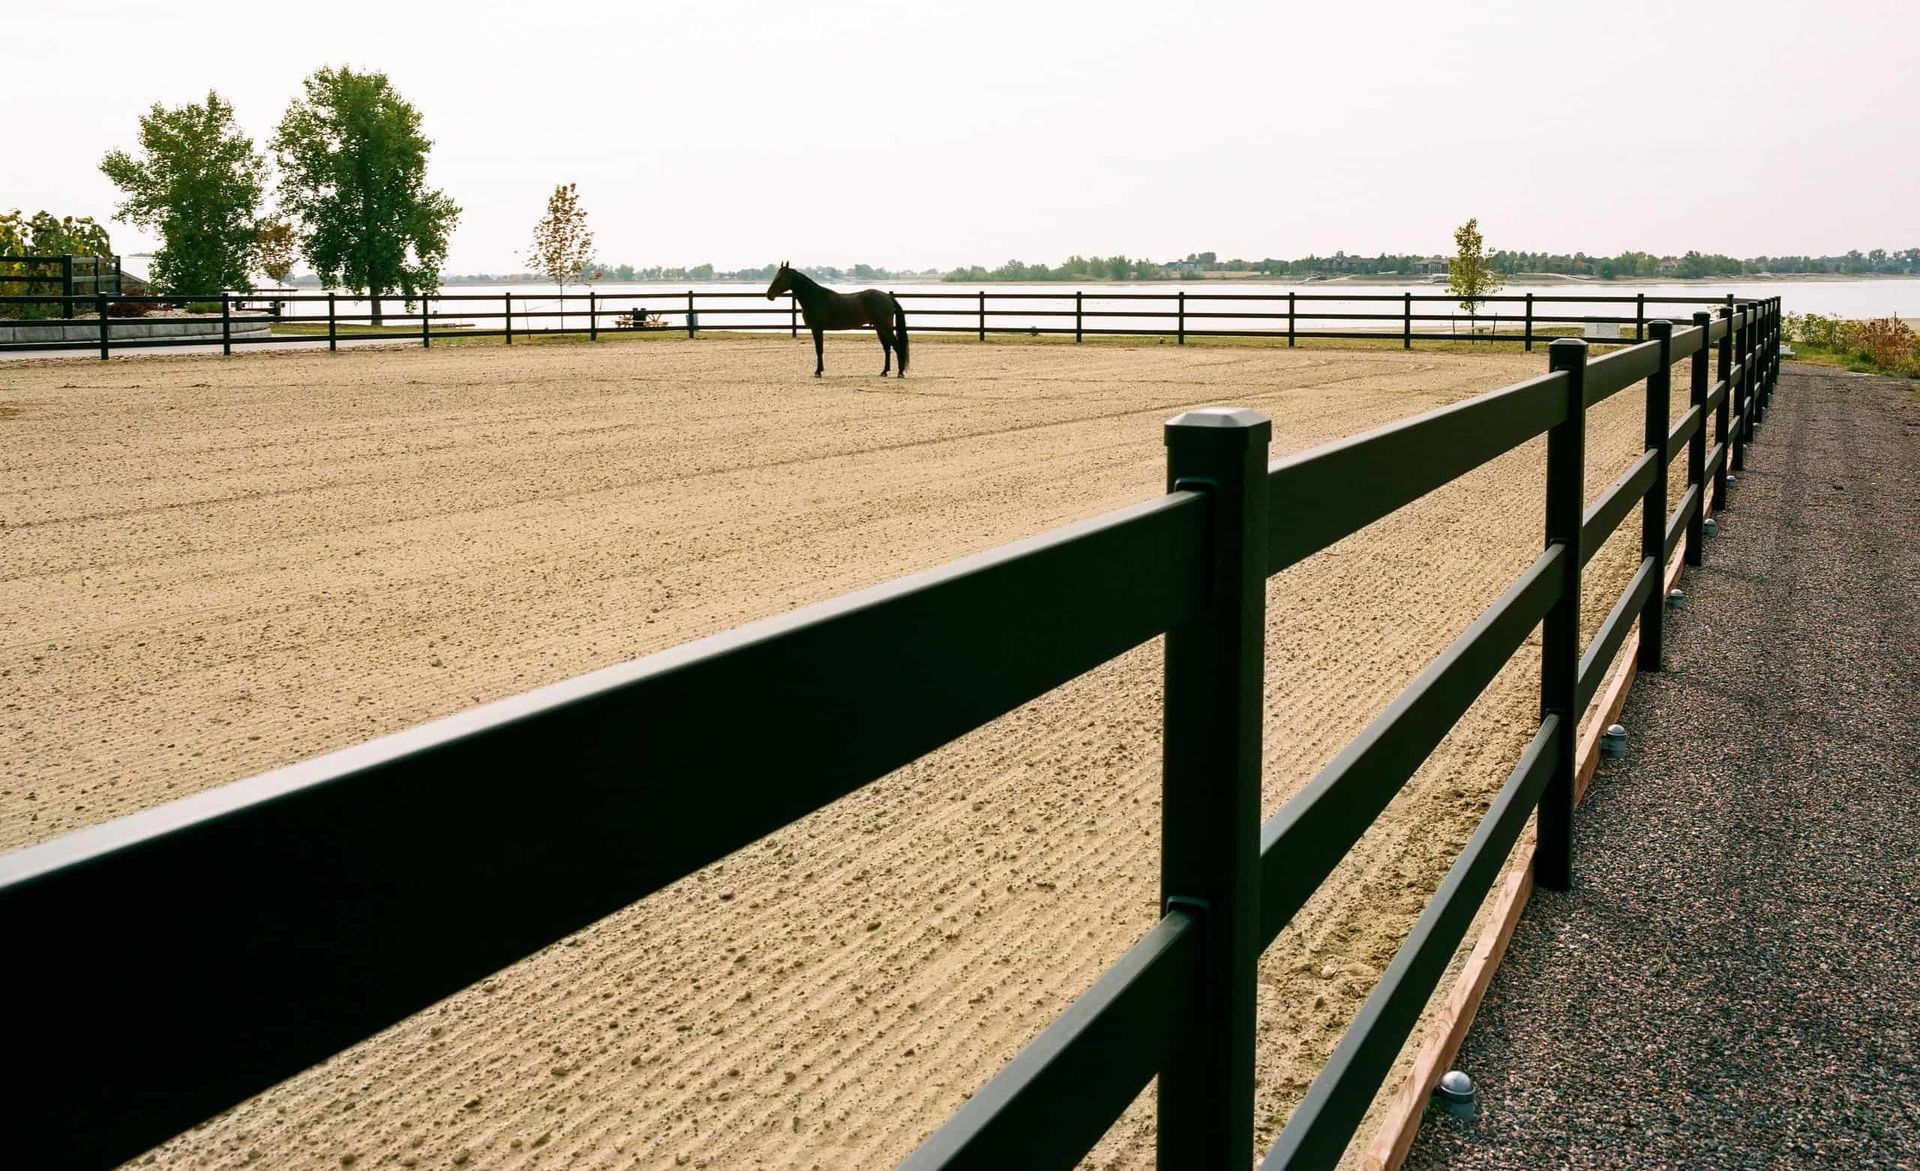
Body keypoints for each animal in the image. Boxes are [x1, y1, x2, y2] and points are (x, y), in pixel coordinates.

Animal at [765, 262, 909, 378]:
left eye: (780, 278)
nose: (769, 295)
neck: (815, 297)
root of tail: (888, 297)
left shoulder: (817, 329)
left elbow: (819, 349)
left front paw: (818, 372)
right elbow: (819, 349)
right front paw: (819, 370)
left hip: (885, 328)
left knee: (896, 346)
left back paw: (900, 373)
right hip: (880, 328)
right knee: (887, 348)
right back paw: (884, 372)